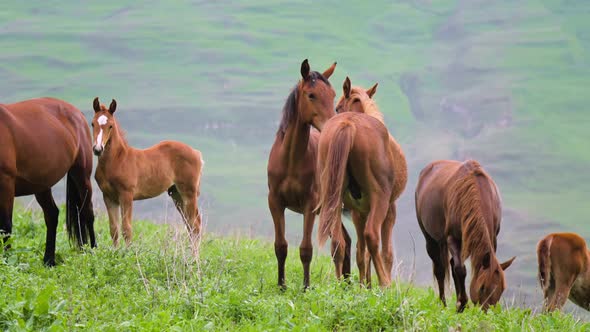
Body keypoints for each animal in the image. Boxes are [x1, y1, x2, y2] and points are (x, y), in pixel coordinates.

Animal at [0, 97, 96, 266]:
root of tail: (76, 112)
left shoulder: (6, 183)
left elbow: (5, 226)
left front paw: (6, 261)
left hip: (81, 175)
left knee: (87, 212)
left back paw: (92, 251)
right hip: (42, 185)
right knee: (52, 215)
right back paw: (49, 260)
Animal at [91, 97, 205, 253]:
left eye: (110, 126)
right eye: (92, 124)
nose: (97, 149)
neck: (117, 160)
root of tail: (196, 153)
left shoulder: (126, 195)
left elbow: (126, 228)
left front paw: (129, 254)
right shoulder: (108, 197)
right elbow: (113, 229)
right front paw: (115, 253)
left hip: (189, 193)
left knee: (195, 225)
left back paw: (194, 258)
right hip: (176, 194)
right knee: (189, 224)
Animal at [268, 59, 350, 288]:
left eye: (332, 95)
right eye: (311, 95)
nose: (332, 124)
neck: (291, 161)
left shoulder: (309, 205)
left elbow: (306, 249)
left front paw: (305, 287)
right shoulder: (275, 202)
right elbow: (280, 246)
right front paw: (281, 285)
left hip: (332, 206)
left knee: (339, 244)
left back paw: (340, 286)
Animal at [316, 77, 410, 288]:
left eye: (337, 107)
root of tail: (348, 124)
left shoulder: (358, 211)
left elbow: (361, 252)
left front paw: (363, 285)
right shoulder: (390, 209)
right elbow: (385, 252)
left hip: (333, 199)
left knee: (338, 242)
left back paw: (340, 285)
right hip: (380, 200)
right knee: (372, 237)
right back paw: (385, 283)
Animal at [416, 160, 520, 312]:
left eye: (502, 289)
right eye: (482, 287)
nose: (487, 312)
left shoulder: (493, 237)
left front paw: (460, 303)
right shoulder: (452, 238)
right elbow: (460, 270)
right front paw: (463, 303)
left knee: (451, 264)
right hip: (430, 239)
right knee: (440, 269)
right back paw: (443, 303)